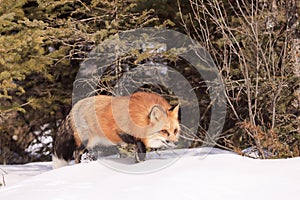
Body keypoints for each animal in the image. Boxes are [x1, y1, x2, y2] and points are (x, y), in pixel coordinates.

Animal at [51, 92, 179, 169]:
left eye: (175, 131)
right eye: (164, 131)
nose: (176, 143)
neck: (140, 117)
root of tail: (74, 107)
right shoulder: (120, 131)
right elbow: (138, 145)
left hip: (93, 143)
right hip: (86, 141)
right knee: (76, 153)